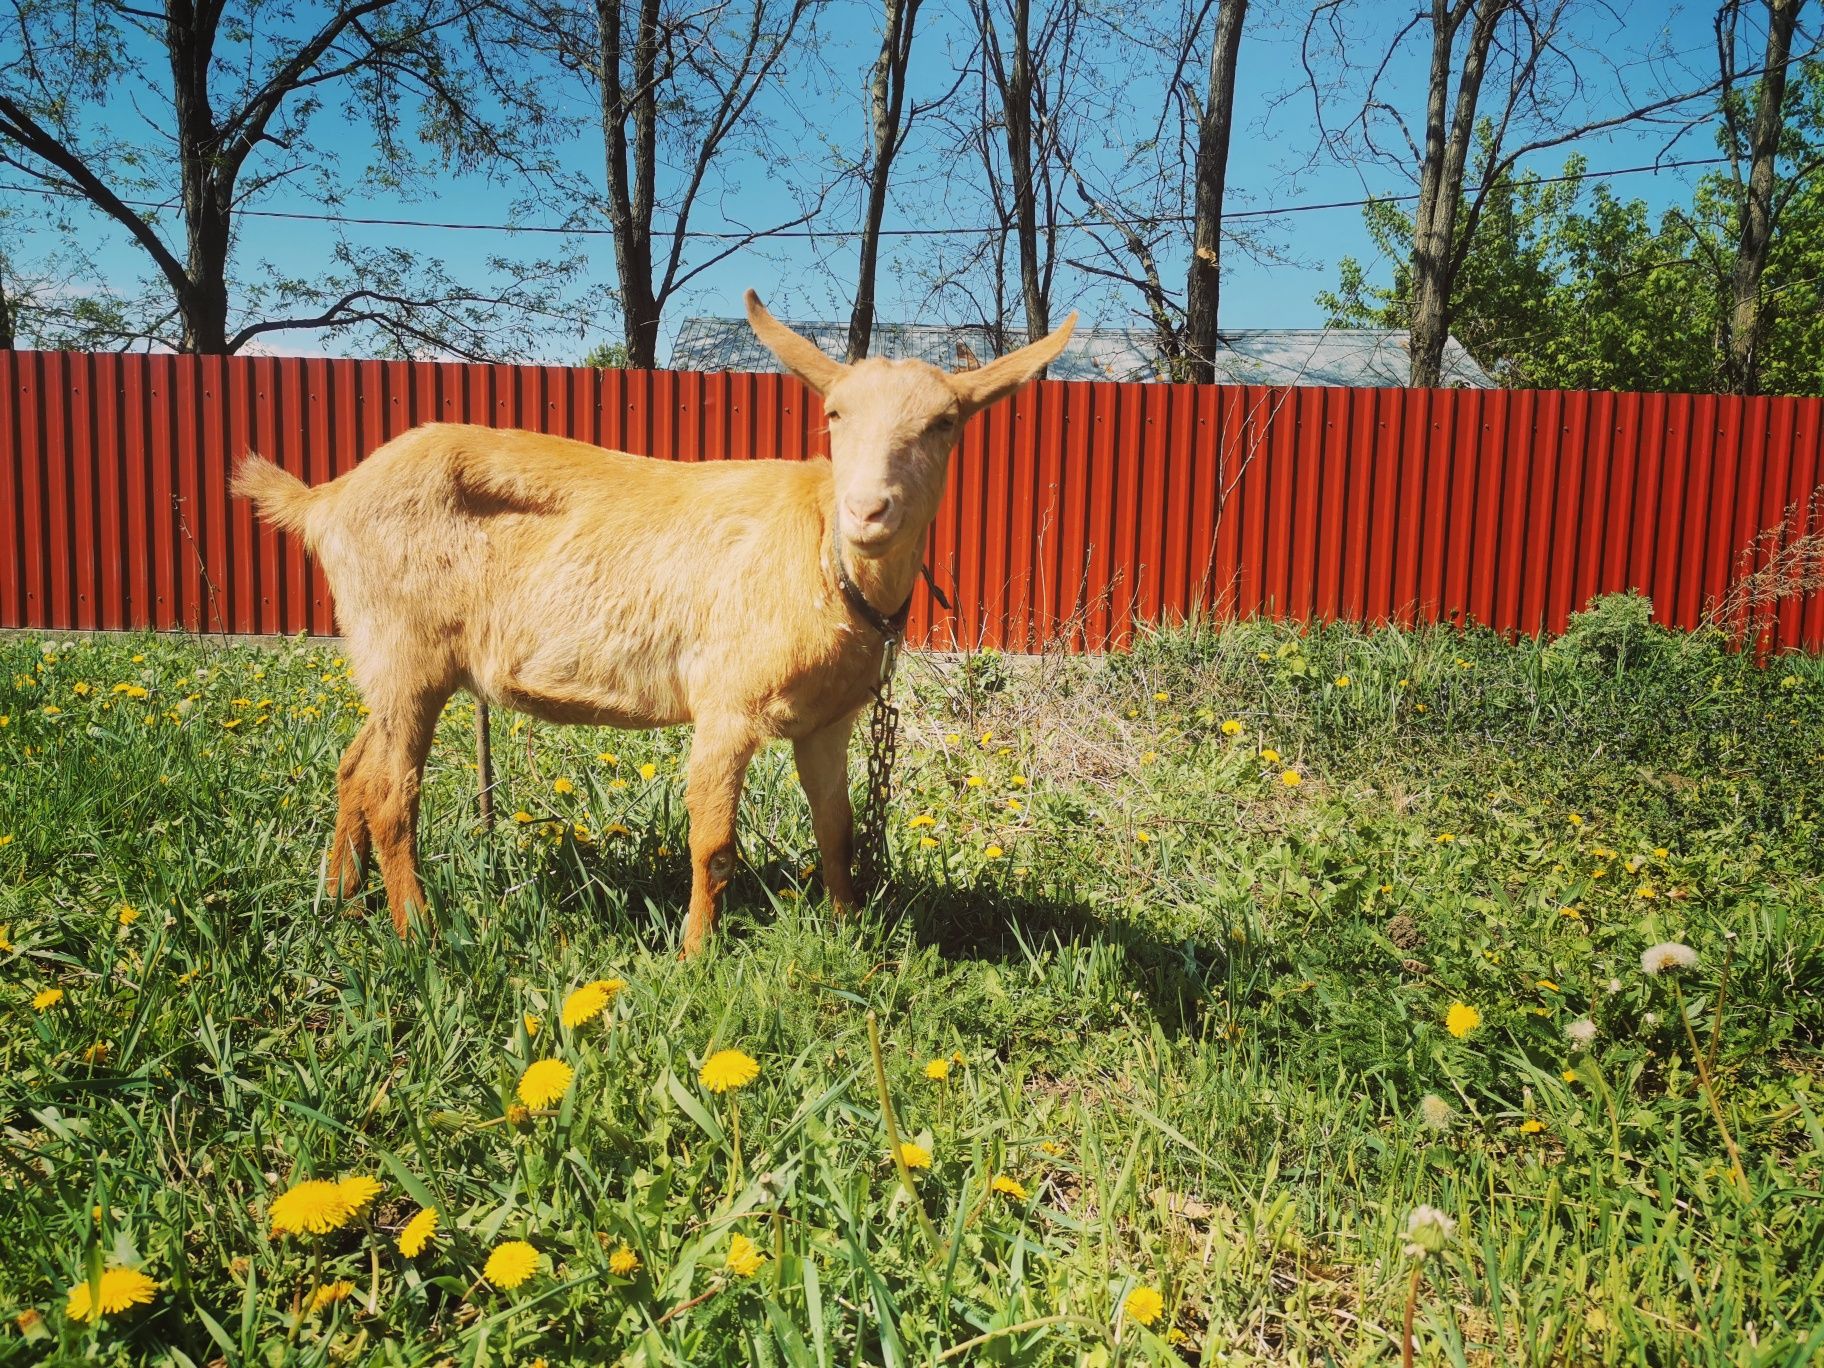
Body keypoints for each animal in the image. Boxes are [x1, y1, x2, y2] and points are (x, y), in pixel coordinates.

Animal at [233, 291, 1072, 955]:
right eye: (834, 413)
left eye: (945, 422)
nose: (868, 511)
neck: (821, 557)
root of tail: (326, 500)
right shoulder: (728, 704)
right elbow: (714, 844)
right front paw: (695, 956)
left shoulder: (826, 721)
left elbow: (834, 828)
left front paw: (848, 931)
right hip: (404, 648)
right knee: (391, 795)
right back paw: (419, 934)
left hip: (388, 660)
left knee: (354, 768)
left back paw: (339, 900)